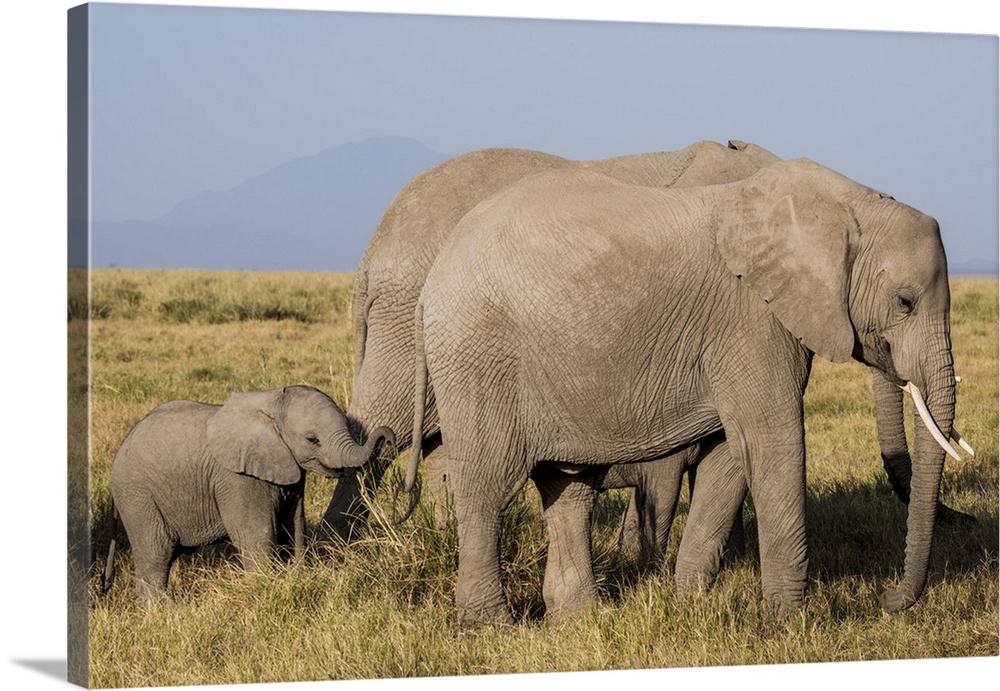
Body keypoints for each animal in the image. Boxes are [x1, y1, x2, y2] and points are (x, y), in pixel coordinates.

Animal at [104, 384, 394, 600]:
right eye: (313, 440)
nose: (388, 438)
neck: (272, 402)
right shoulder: (237, 479)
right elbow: (258, 535)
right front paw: (264, 589)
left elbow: (294, 527)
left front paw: (297, 574)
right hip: (137, 497)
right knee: (156, 555)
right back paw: (157, 613)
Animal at [404, 159, 968, 624]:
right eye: (904, 302)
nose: (888, 599)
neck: (847, 202)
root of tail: (433, 276)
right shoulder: (750, 321)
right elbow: (772, 442)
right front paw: (791, 625)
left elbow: (730, 457)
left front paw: (689, 605)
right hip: (478, 356)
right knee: (487, 489)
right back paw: (491, 626)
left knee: (571, 490)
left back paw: (582, 618)